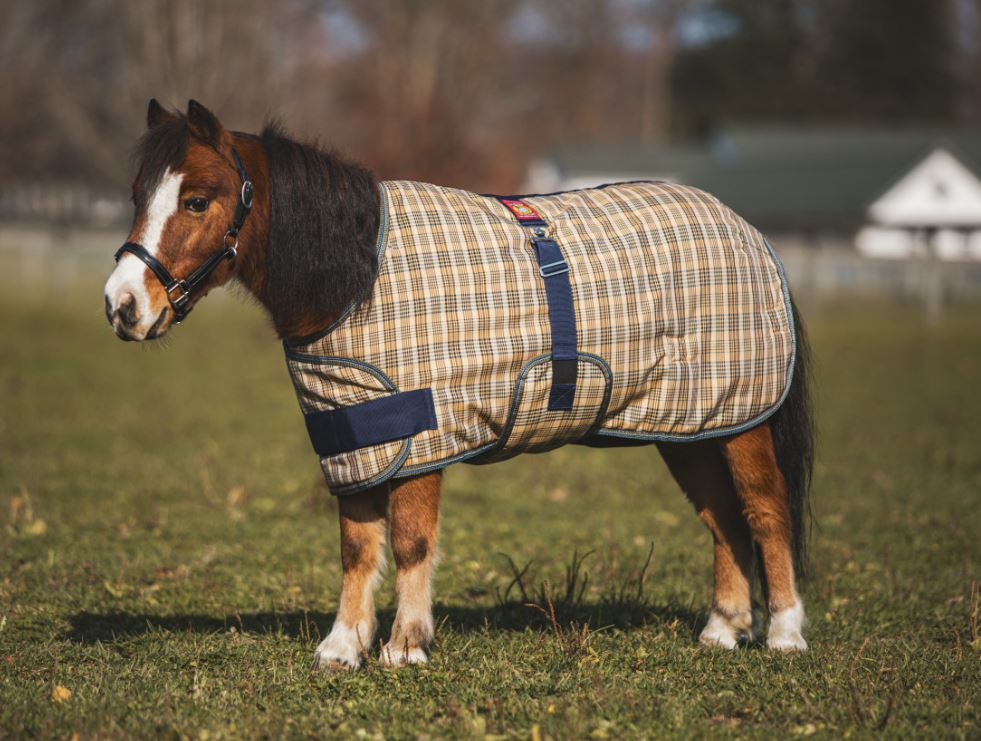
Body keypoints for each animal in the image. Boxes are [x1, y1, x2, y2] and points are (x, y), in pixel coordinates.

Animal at [105, 100, 813, 670]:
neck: (357, 278)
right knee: (723, 518)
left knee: (765, 511)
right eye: (138, 195)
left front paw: (405, 645)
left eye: (197, 199)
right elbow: (357, 547)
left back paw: (784, 634)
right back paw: (723, 629)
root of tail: (750, 232)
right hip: (689, 427)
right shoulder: (357, 436)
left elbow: (411, 542)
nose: (121, 306)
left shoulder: (419, 434)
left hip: (742, 420)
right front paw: (343, 646)